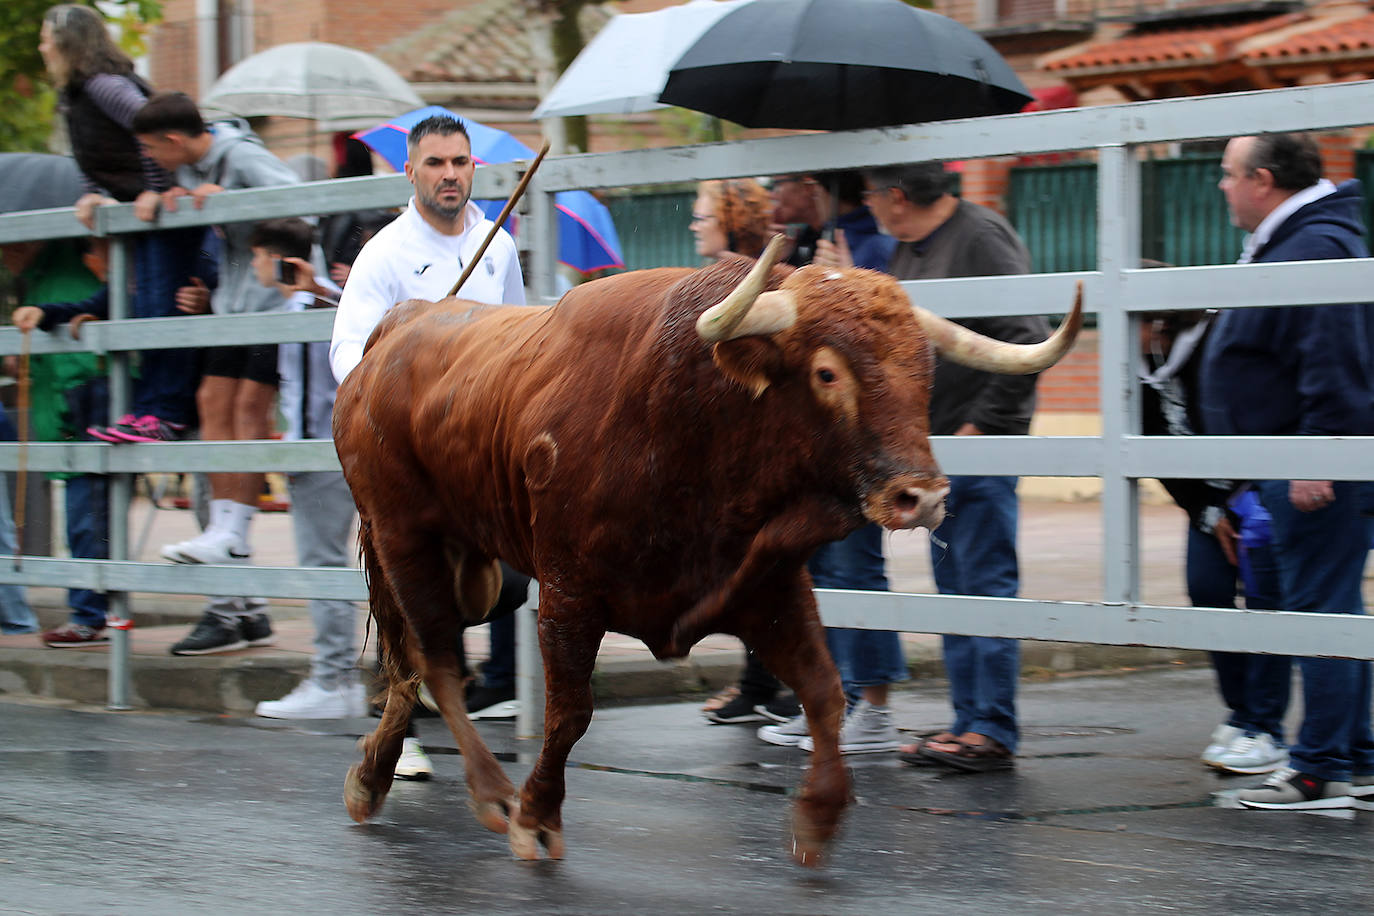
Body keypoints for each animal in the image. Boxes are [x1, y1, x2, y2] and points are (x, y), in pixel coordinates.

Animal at [332, 236, 1082, 867]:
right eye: (827, 374)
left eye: (925, 370)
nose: (920, 496)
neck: (694, 421)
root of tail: (397, 328)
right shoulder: (569, 596)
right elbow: (569, 714)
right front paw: (536, 816)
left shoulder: (766, 585)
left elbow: (823, 692)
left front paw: (819, 813)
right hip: (404, 536)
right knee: (436, 659)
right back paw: (488, 789)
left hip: (463, 560)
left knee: (408, 660)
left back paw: (373, 774)